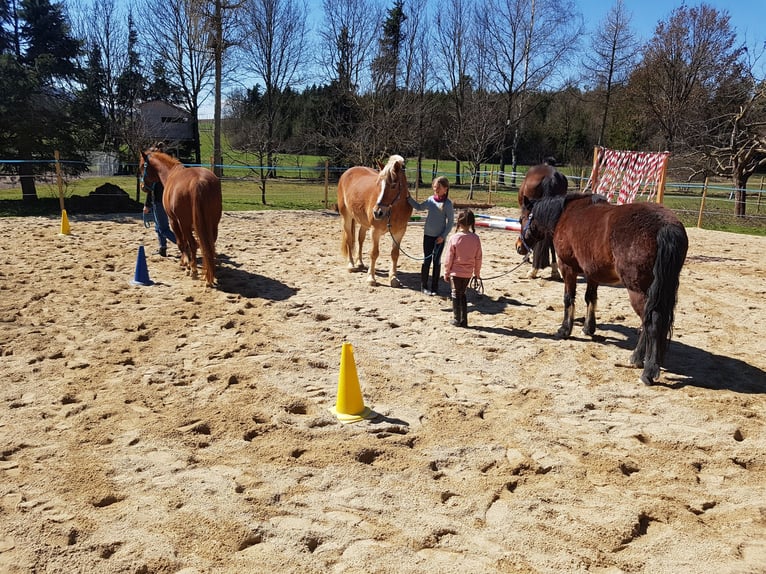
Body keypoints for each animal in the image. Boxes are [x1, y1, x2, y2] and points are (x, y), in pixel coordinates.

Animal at [140, 148, 222, 288]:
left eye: (141, 166)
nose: (143, 187)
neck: (170, 173)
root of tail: (199, 182)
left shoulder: (174, 221)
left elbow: (181, 242)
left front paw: (185, 264)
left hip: (185, 223)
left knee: (193, 243)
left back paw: (193, 270)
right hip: (213, 224)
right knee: (209, 246)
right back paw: (210, 274)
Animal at [340, 155, 414, 288]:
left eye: (394, 185)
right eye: (379, 184)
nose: (377, 212)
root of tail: (347, 172)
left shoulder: (399, 233)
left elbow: (395, 254)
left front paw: (393, 278)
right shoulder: (375, 231)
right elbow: (374, 253)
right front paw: (371, 278)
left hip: (364, 223)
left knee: (360, 239)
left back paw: (360, 263)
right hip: (346, 217)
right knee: (349, 239)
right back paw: (351, 265)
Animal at [520, 194, 688, 388]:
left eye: (521, 219)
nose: (519, 247)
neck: (564, 214)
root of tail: (666, 225)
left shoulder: (567, 267)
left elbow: (569, 298)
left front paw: (564, 330)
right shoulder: (592, 272)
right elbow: (590, 298)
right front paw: (588, 328)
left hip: (638, 292)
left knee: (652, 322)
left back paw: (648, 370)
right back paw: (636, 358)